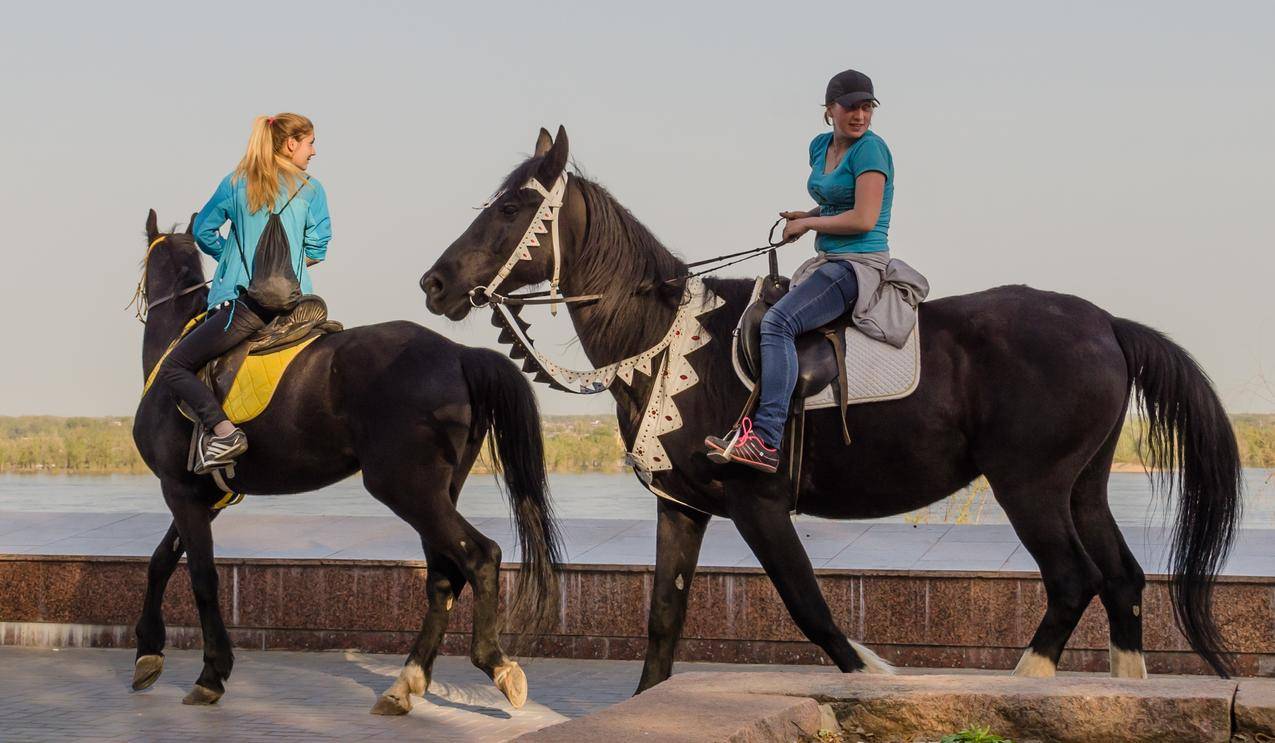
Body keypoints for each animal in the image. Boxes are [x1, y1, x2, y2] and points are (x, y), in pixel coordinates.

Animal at [130, 212, 563, 713]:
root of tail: (459, 354)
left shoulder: (180, 490)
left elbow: (201, 578)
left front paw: (210, 673)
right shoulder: (204, 496)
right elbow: (161, 560)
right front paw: (148, 653)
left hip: (405, 486)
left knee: (479, 556)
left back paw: (495, 664)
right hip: (438, 490)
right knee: (443, 576)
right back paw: (406, 682)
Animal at [423, 128, 1239, 693]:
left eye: (513, 207)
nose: (435, 282)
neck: (668, 342)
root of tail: (1106, 323)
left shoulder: (756, 502)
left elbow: (811, 609)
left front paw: (873, 675)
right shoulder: (680, 506)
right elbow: (662, 618)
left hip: (1029, 484)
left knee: (1072, 579)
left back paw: (1024, 683)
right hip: (1082, 484)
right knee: (1122, 579)